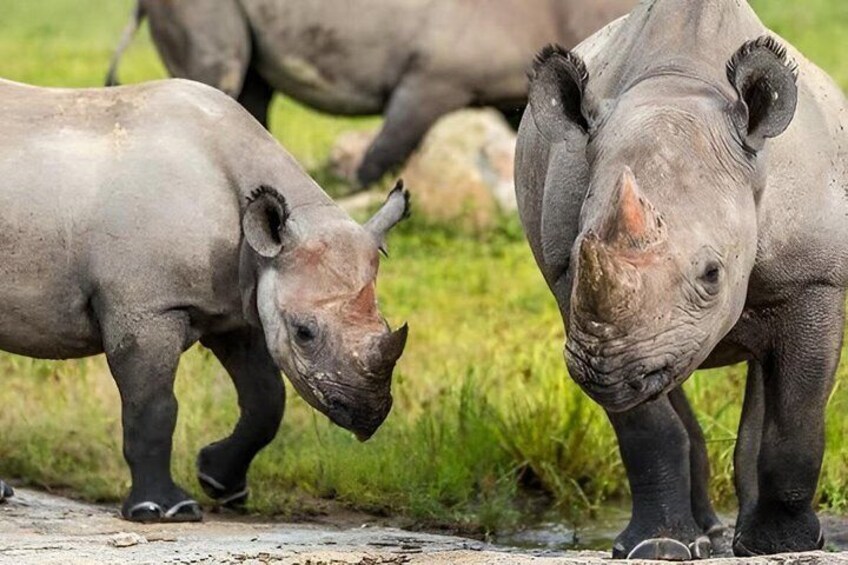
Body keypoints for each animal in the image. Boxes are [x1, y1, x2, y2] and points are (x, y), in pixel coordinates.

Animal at [0, 76, 410, 522]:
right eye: (304, 333)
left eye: (386, 325)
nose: (368, 415)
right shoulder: (147, 307)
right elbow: (154, 407)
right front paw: (164, 510)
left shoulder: (241, 304)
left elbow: (267, 400)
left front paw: (220, 484)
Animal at [516, 0, 848, 559]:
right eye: (581, 261)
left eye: (712, 275)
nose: (605, 372)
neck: (679, 84)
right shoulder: (603, 316)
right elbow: (648, 427)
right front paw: (655, 548)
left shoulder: (815, 279)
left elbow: (795, 415)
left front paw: (784, 544)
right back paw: (704, 538)